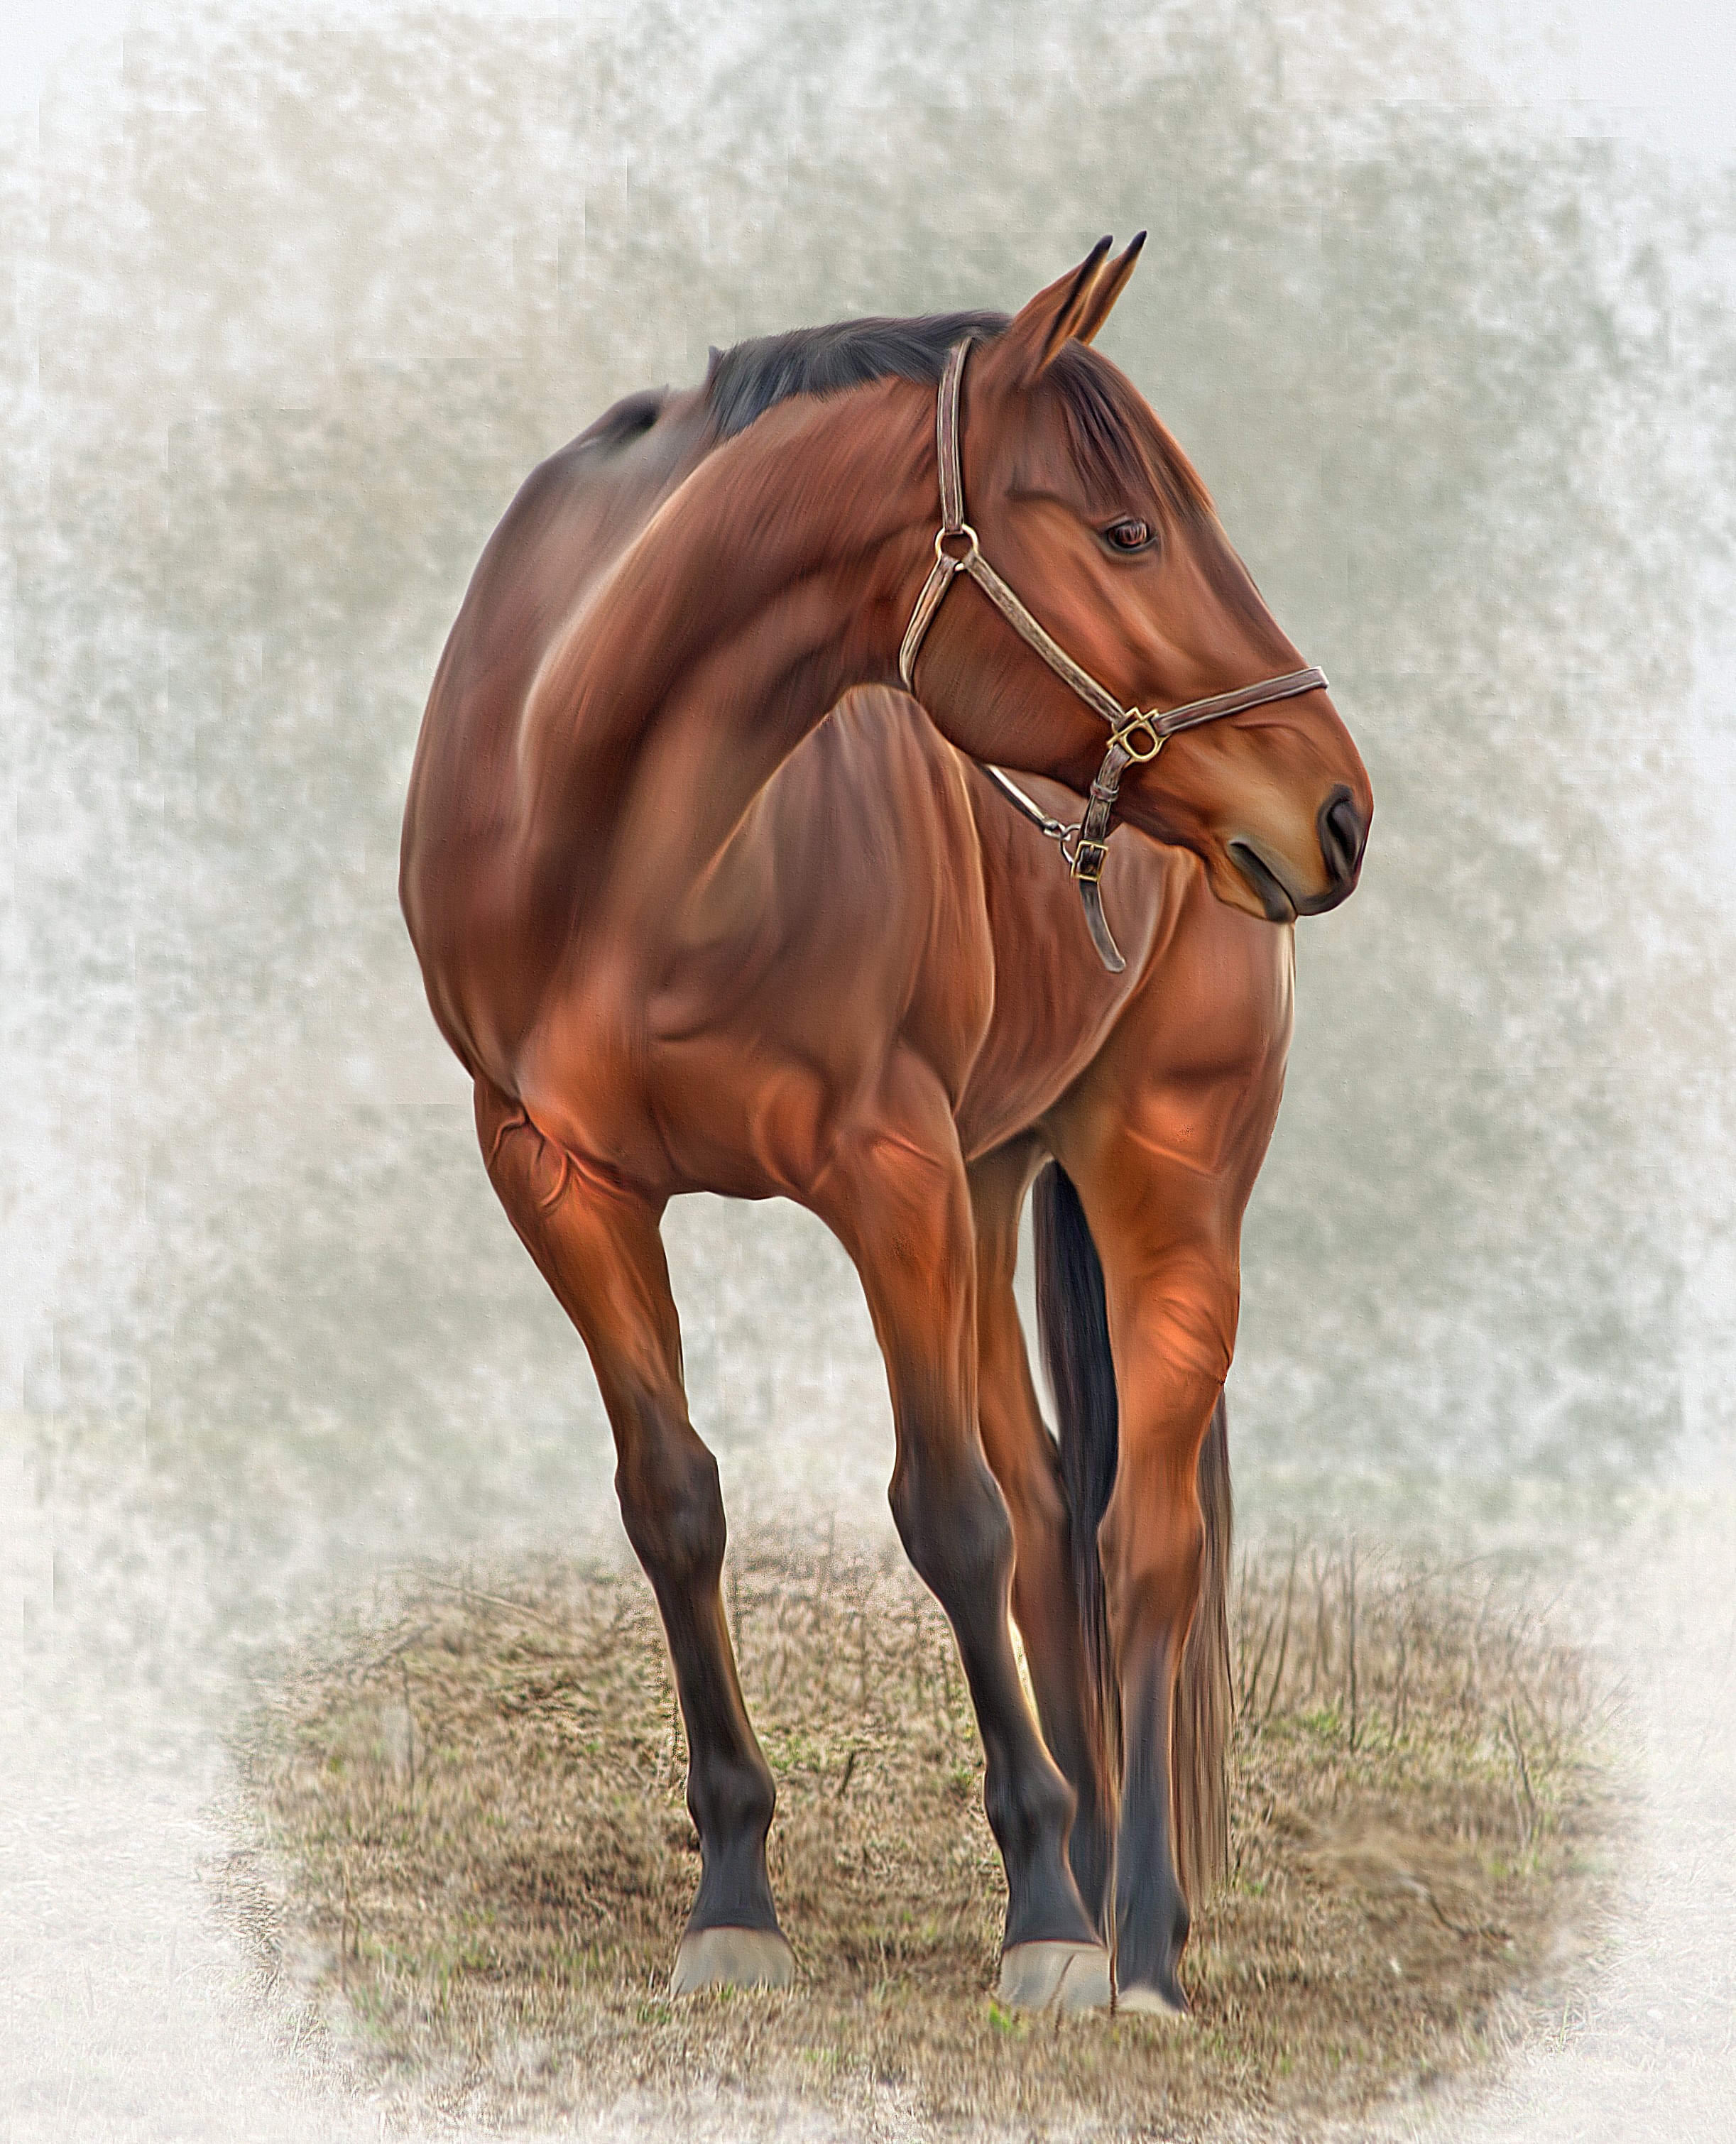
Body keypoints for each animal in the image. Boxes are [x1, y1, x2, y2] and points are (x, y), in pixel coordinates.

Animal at [399, 238, 1371, 2016]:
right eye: (1126, 531)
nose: (1335, 808)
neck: (610, 840)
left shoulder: (884, 1173)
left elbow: (949, 1519)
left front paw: (1043, 1916)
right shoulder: (557, 1180)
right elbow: (676, 1503)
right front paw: (733, 1896)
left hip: (1161, 1181)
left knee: (1143, 1540)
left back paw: (1135, 1941)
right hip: (988, 1188)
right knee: (1060, 1511)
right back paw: (1118, 1890)